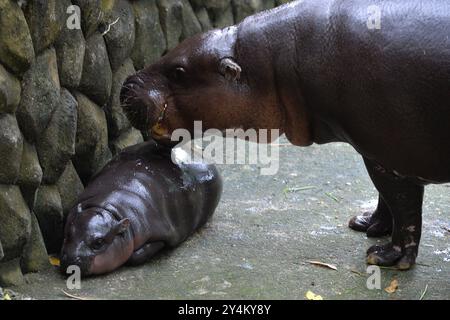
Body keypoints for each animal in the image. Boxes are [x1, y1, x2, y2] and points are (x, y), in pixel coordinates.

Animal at [60, 141, 222, 276]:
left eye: (98, 242)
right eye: (67, 234)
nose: (72, 260)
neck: (109, 210)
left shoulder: (162, 232)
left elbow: (137, 255)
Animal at [119, 0, 450, 270]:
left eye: (179, 72)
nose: (126, 85)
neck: (271, 65)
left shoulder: (392, 155)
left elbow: (403, 207)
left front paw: (385, 258)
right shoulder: (375, 151)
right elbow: (385, 198)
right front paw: (367, 224)